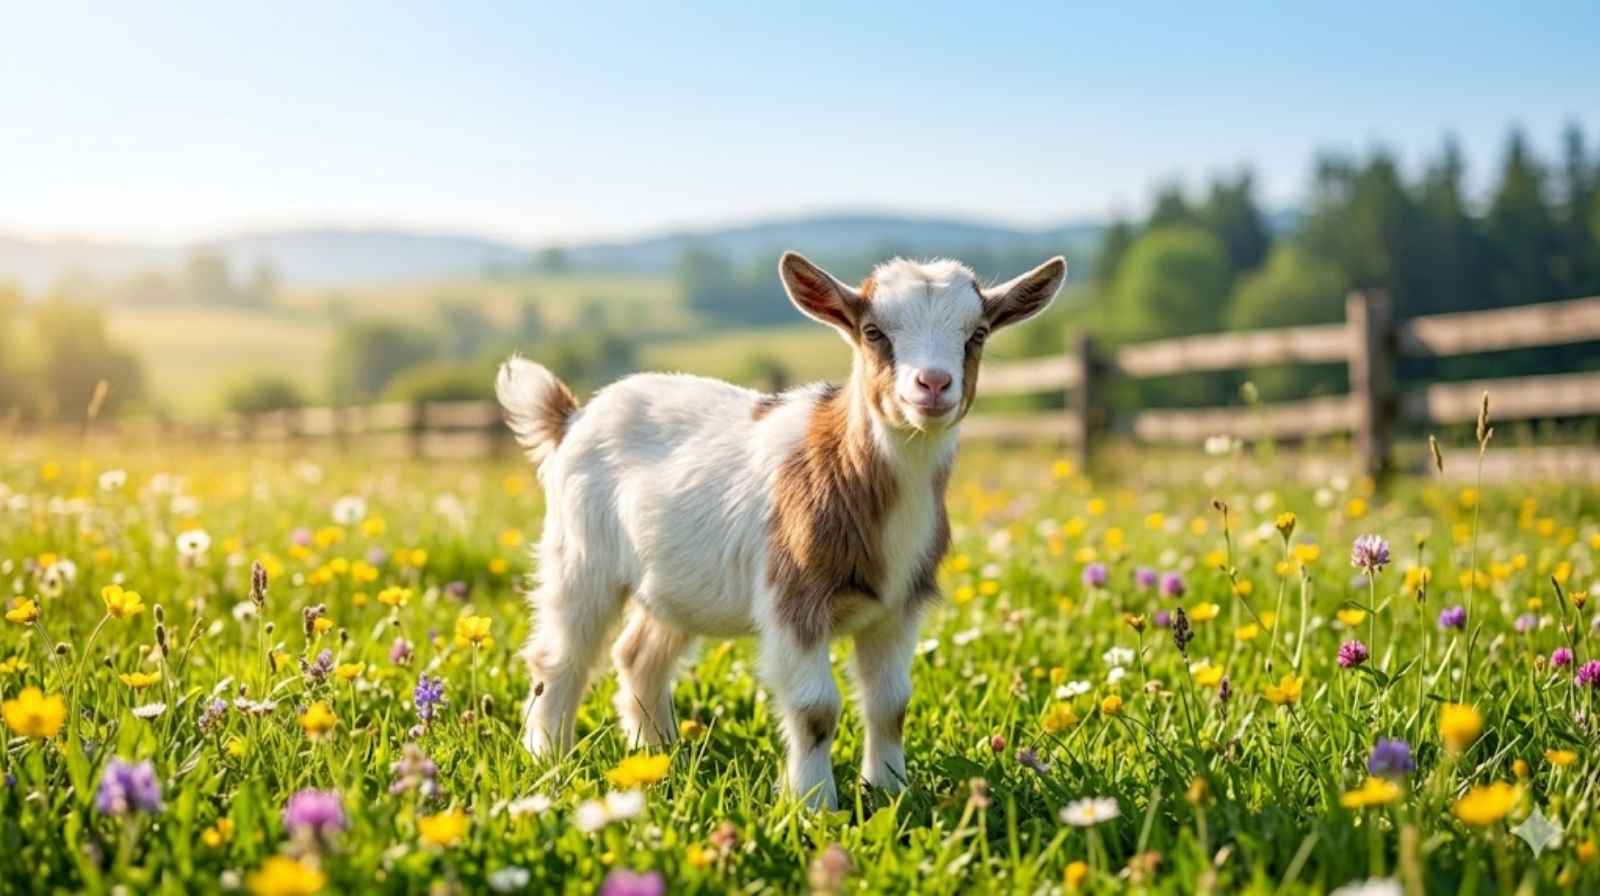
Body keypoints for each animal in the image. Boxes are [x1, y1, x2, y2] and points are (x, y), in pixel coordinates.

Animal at [496, 252, 1065, 807]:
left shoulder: (899, 606)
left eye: (978, 333)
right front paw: (814, 804)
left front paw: (889, 790)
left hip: (674, 584)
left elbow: (891, 704)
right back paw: (548, 757)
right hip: (578, 552)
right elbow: (816, 708)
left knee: (638, 657)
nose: (933, 385)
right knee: (560, 657)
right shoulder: (795, 598)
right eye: (873, 331)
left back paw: (658, 757)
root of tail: (572, 418)